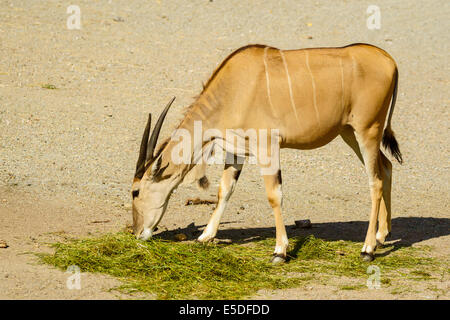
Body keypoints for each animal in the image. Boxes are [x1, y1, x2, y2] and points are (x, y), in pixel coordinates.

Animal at [132, 43, 402, 262]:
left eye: (135, 191)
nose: (136, 232)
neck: (234, 89)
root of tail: (390, 61)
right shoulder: (236, 152)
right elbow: (224, 190)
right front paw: (205, 236)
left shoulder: (267, 147)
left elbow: (274, 196)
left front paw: (280, 251)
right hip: (350, 133)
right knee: (386, 167)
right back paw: (381, 235)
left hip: (366, 131)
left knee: (376, 181)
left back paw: (368, 249)